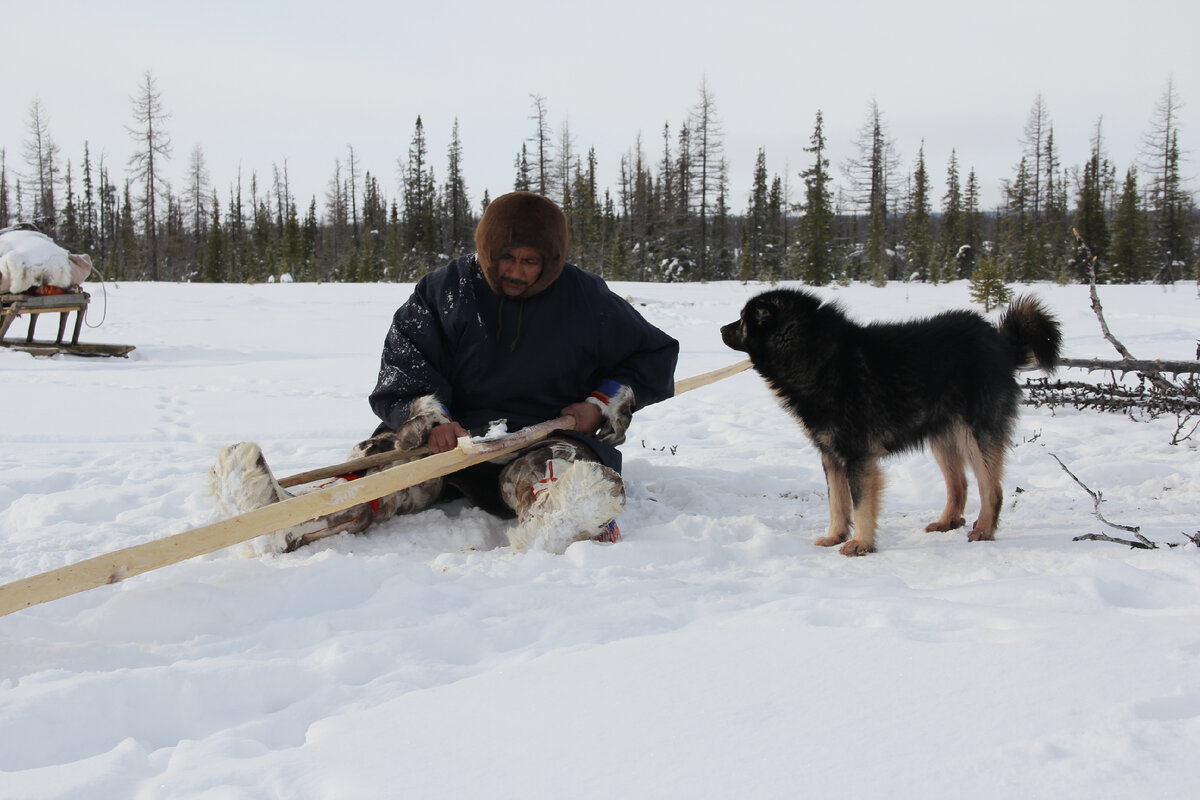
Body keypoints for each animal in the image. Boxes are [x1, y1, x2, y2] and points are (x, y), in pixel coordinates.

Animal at [720, 289, 1060, 556]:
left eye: (742, 319)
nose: (722, 329)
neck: (818, 357)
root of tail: (1000, 343)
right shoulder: (830, 455)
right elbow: (837, 503)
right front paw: (834, 537)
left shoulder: (857, 456)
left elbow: (860, 504)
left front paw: (860, 544)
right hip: (942, 436)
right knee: (959, 485)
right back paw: (948, 522)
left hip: (976, 435)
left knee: (992, 489)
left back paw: (985, 530)